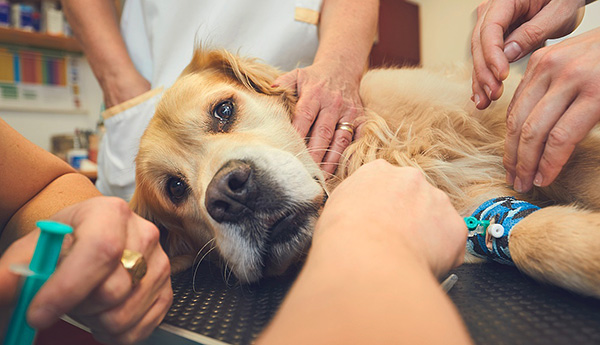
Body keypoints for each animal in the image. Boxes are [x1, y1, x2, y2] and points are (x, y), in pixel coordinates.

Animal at [131, 47, 600, 296]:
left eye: (224, 110)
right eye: (175, 189)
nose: (230, 194)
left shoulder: (517, 132)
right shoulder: (470, 211)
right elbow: (533, 237)